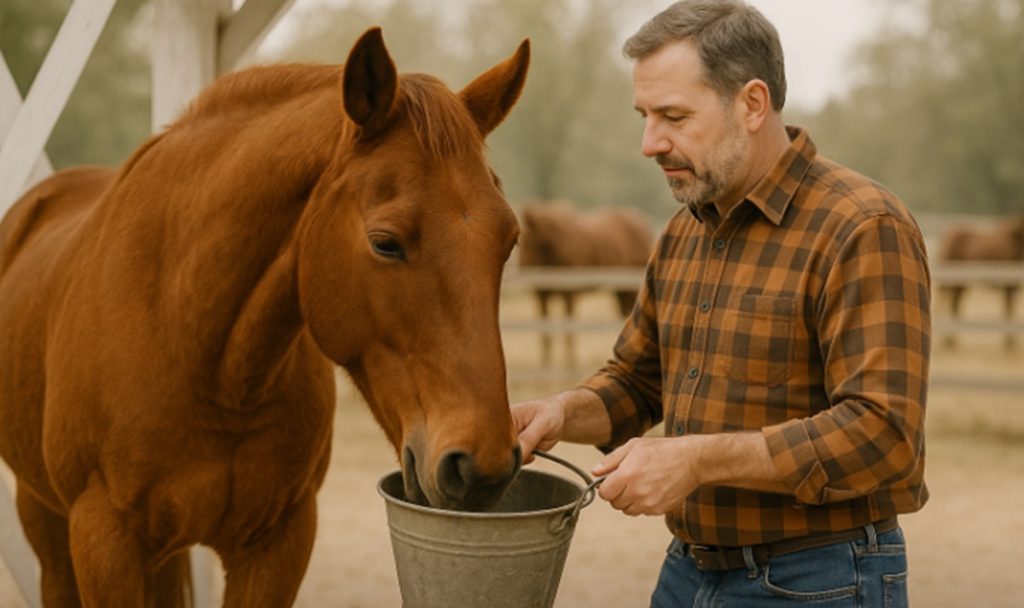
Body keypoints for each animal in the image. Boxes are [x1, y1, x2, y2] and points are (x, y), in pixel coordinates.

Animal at [0, 28, 529, 607]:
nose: (481, 466)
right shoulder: (105, 543)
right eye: (385, 243)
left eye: (509, 240)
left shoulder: (279, 543)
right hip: (48, 529)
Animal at [517, 201, 654, 366]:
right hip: (620, 291)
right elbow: (545, 333)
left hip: (630, 289)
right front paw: (546, 363)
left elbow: (568, 330)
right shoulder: (542, 295)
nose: (522, 271)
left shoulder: (569, 294)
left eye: (528, 242)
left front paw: (570, 362)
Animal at [937, 216, 1024, 349]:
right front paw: (1009, 342)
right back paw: (949, 341)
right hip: (953, 281)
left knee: (954, 305)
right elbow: (1009, 308)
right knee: (950, 304)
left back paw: (951, 341)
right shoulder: (1009, 285)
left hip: (959, 283)